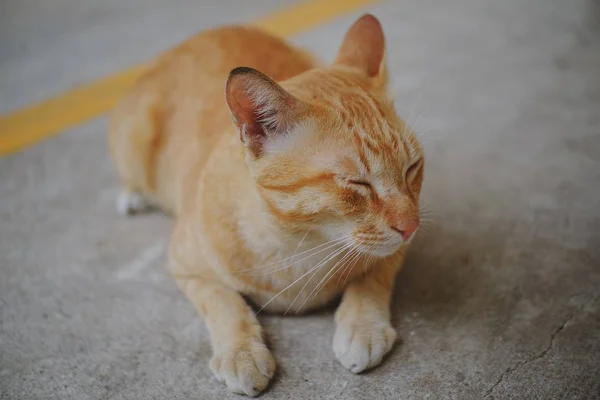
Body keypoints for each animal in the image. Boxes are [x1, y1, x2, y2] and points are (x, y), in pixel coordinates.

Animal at [110, 13, 424, 396]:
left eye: (412, 168)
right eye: (357, 183)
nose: (411, 226)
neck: (303, 246)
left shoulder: (396, 250)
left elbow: (373, 279)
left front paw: (363, 326)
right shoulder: (185, 265)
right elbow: (223, 302)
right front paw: (241, 351)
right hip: (132, 141)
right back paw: (132, 194)